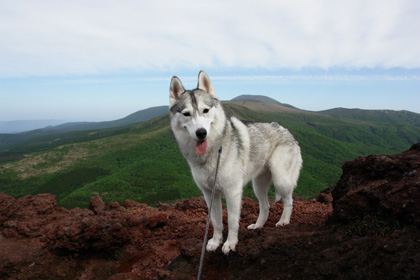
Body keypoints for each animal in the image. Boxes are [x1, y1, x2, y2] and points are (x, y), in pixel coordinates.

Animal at [169, 70, 304, 254]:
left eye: (205, 110)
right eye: (186, 114)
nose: (201, 133)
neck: (214, 151)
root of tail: (288, 132)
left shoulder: (232, 192)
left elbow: (232, 222)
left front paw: (230, 243)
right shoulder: (210, 194)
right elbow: (216, 222)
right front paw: (215, 242)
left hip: (280, 180)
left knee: (289, 201)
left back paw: (283, 221)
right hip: (258, 185)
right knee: (265, 206)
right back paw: (258, 226)